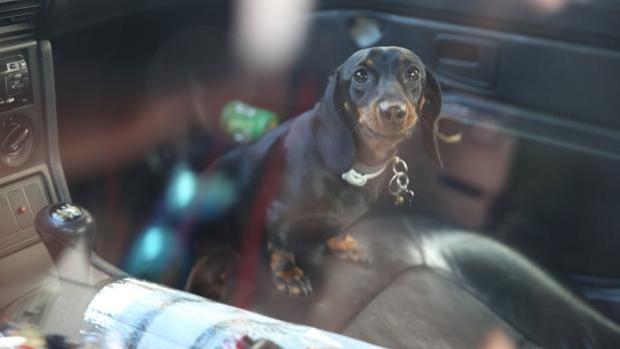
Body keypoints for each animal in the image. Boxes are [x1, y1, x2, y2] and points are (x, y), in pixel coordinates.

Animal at [199, 45, 440, 294]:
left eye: (413, 73)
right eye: (360, 75)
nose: (393, 111)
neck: (355, 170)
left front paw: (342, 243)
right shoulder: (277, 213)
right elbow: (281, 245)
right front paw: (288, 274)